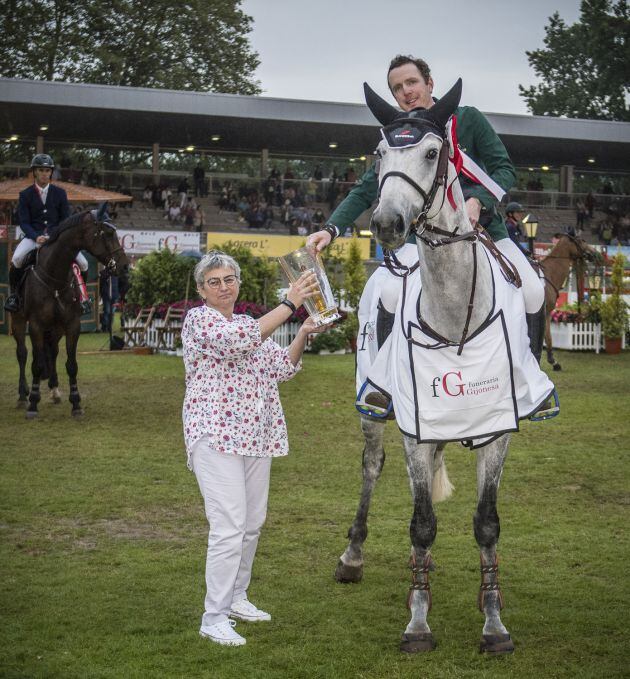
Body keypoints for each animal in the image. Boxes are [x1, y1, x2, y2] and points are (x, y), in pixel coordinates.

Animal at [9, 206, 129, 420]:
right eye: (107, 234)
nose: (124, 265)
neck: (55, 278)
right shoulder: (36, 325)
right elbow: (36, 364)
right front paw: (33, 403)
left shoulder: (72, 324)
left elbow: (71, 364)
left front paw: (76, 404)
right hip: (18, 320)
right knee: (22, 354)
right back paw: (23, 395)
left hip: (56, 328)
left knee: (53, 352)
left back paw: (54, 390)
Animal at [338, 78, 516, 652]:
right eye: (378, 154)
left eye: (435, 153)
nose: (385, 223)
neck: (455, 311)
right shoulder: (413, 428)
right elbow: (420, 522)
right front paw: (417, 621)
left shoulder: (497, 429)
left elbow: (486, 523)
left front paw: (494, 621)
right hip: (374, 405)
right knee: (372, 467)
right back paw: (353, 555)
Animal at [540, 235, 604, 372]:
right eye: (581, 240)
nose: (595, 253)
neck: (548, 274)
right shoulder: (546, 313)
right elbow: (547, 337)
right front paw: (553, 362)